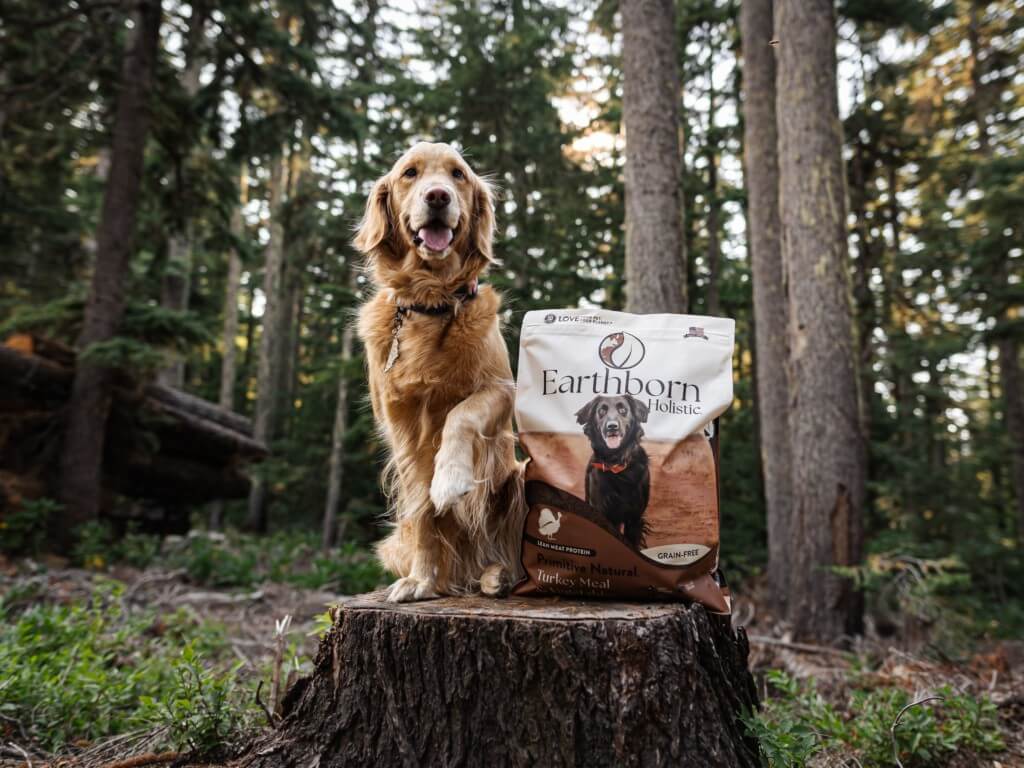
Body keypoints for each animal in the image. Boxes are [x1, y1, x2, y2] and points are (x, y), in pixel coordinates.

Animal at [356, 141, 524, 606]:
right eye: (410, 173)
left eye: (458, 175)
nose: (437, 196)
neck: (431, 303)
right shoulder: (402, 427)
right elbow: (426, 512)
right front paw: (422, 581)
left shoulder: (501, 390)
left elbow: (459, 416)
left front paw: (450, 478)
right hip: (394, 542)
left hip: (520, 477)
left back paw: (498, 576)